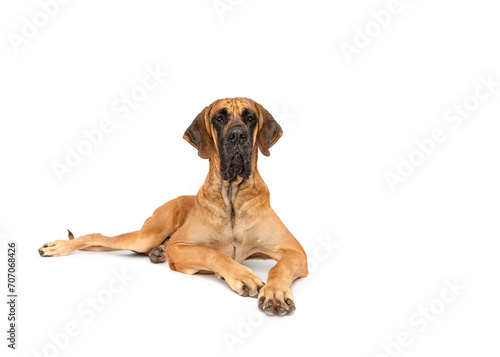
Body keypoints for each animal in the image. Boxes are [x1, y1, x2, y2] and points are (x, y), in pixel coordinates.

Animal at [40, 97, 308, 314]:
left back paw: (157, 252)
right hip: (148, 234)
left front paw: (275, 293)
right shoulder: (180, 246)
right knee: (98, 238)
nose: (237, 135)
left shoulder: (295, 251)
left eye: (250, 118)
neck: (232, 193)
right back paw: (60, 246)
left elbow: (279, 268)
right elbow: (214, 252)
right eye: (219, 118)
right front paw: (241, 275)